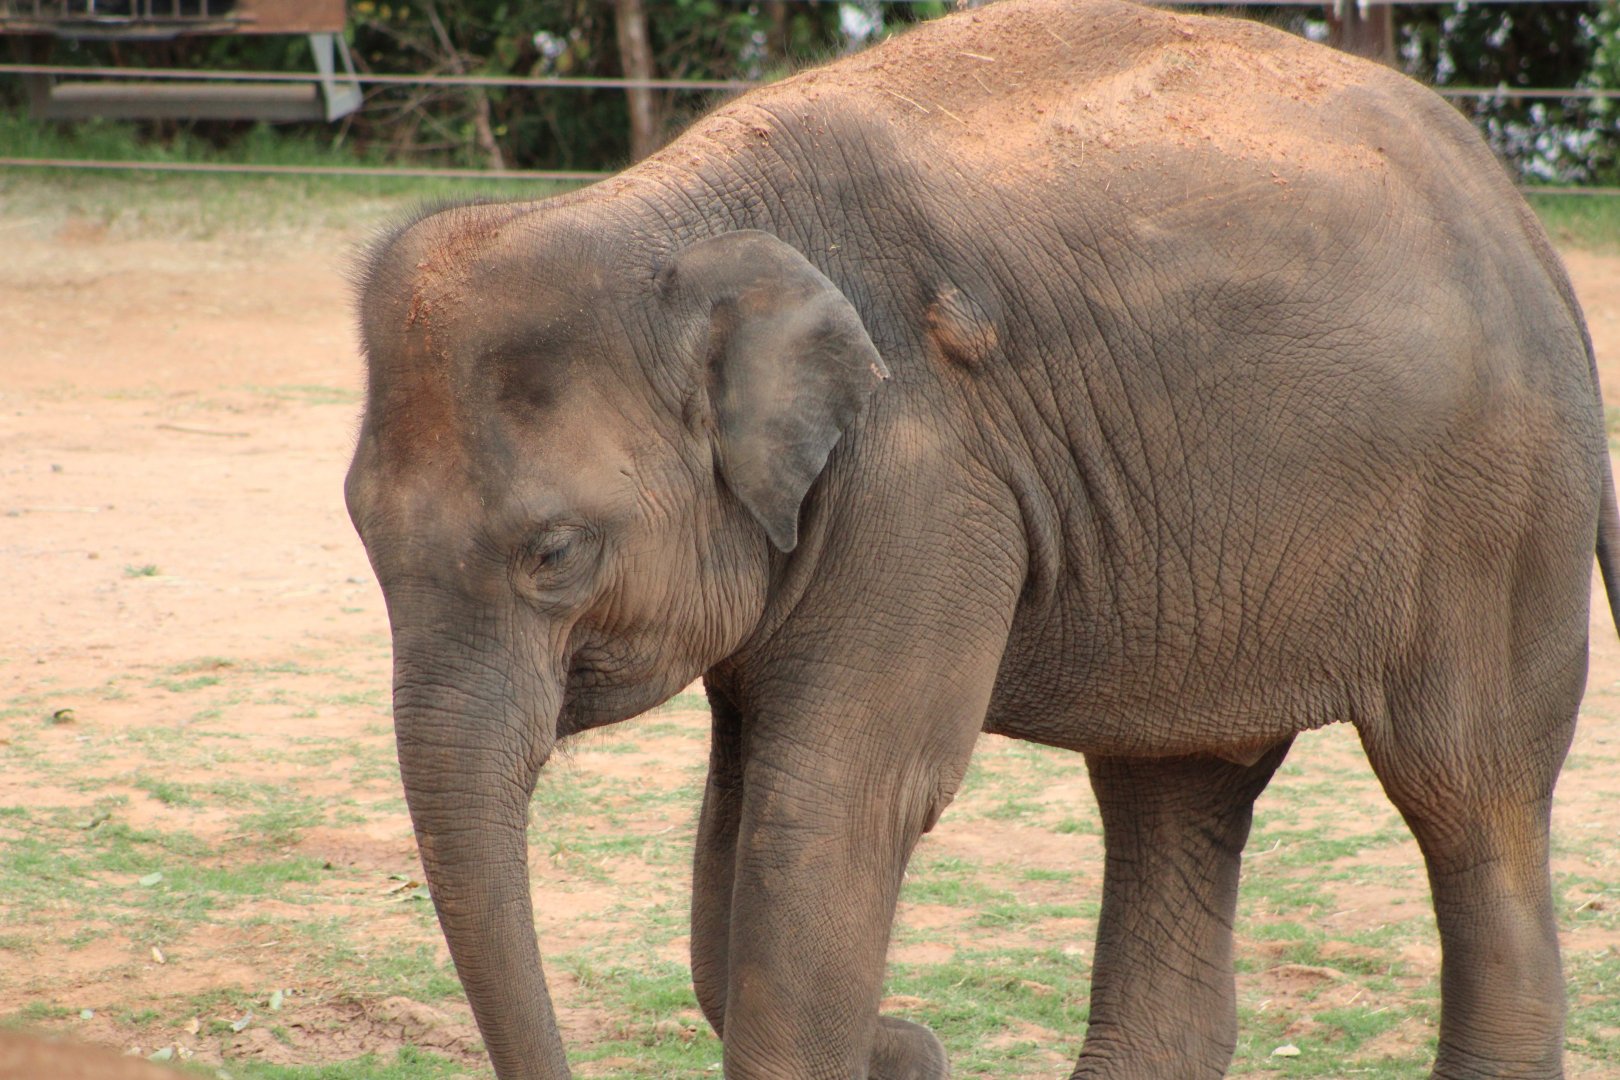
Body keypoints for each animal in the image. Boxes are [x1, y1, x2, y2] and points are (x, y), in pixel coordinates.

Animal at [343, 0, 1620, 1076]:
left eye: (554, 555)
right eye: (357, 526)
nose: (926, 1044)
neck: (673, 218)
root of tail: (1517, 215)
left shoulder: (925, 477)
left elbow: (830, 806)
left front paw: (893, 1041)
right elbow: (742, 816)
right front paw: (902, 1046)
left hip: (1504, 512)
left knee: (1468, 795)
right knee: (1176, 792)